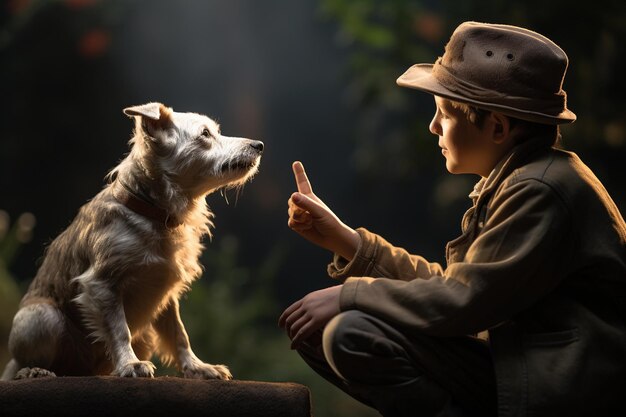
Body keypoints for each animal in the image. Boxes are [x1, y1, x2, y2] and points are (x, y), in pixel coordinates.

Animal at [0, 101, 264, 380]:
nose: (259, 145)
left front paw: (197, 367)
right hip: (41, 317)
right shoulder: (102, 285)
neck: (152, 212)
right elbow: (119, 330)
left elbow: (179, 334)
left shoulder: (166, 291)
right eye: (205, 134)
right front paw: (130, 364)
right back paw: (34, 371)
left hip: (144, 335)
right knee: (31, 361)